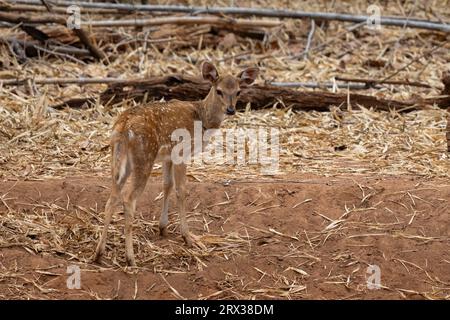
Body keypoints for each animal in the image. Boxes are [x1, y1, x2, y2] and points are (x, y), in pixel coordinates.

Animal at [93, 61, 258, 266]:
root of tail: (123, 126)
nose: (230, 109)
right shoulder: (181, 152)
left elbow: (167, 185)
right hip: (144, 157)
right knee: (128, 199)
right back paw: (130, 258)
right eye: (219, 90)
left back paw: (98, 253)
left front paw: (162, 227)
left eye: (238, 91)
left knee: (112, 198)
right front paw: (188, 237)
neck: (202, 119)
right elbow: (181, 191)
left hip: (118, 159)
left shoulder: (167, 157)